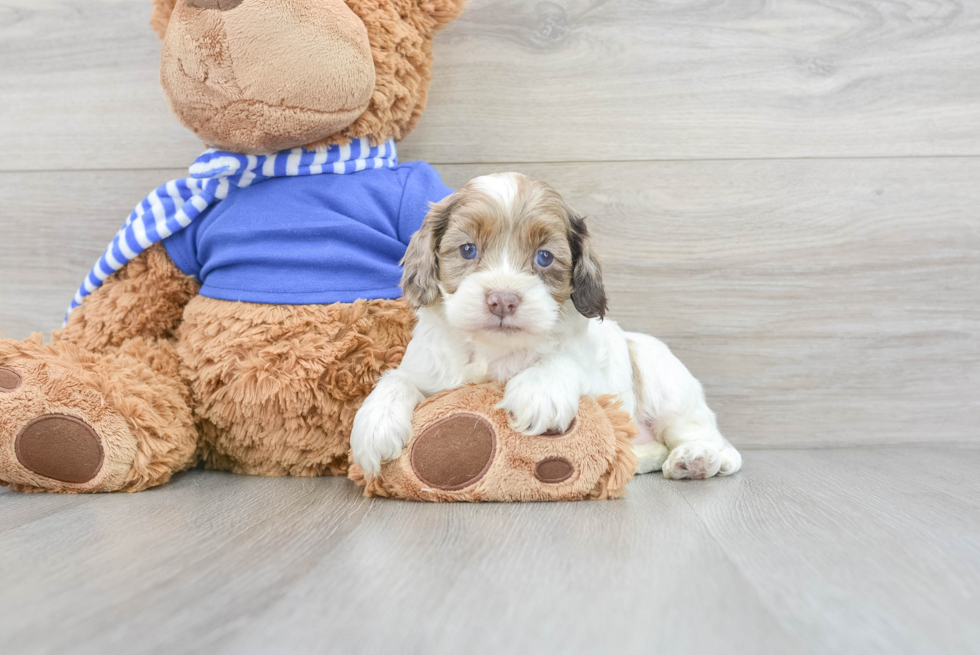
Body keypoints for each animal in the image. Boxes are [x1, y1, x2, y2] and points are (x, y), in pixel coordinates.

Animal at [352, 174, 744, 482]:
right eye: (467, 250)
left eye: (544, 257)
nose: (502, 300)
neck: (495, 349)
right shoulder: (428, 370)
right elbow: (398, 379)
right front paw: (374, 423)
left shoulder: (601, 383)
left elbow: (566, 361)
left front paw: (539, 389)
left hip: (662, 376)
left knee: (699, 430)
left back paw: (698, 458)